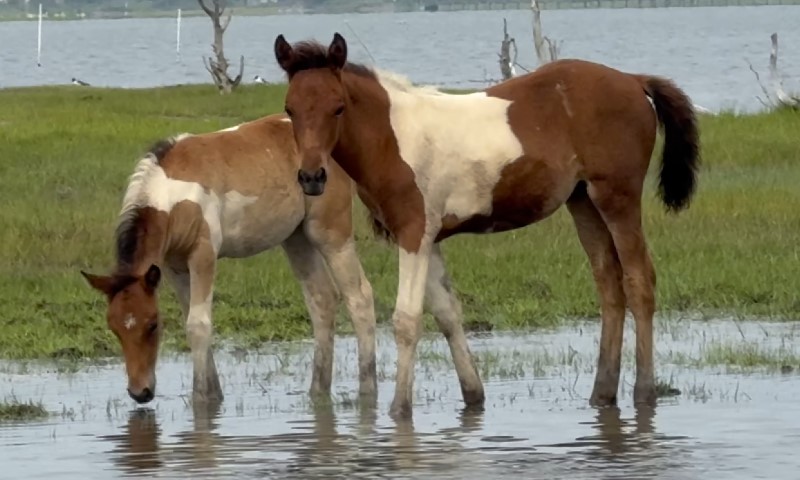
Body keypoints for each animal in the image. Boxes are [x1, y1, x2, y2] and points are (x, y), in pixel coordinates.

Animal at [81, 112, 378, 405]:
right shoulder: (174, 266)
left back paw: (367, 390)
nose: (140, 392)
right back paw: (318, 392)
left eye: (153, 324)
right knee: (322, 300)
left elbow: (198, 324)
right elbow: (192, 321)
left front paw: (202, 400)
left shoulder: (203, 255)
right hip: (296, 237)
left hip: (330, 233)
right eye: (114, 327)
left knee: (359, 297)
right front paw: (214, 395)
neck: (173, 193)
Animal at [272, 33, 700, 419]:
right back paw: (602, 394)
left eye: (338, 107)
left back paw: (643, 391)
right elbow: (447, 313)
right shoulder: (427, 238)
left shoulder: (414, 233)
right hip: (583, 203)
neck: (392, 138)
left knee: (639, 280)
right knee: (609, 285)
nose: (312, 177)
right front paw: (473, 395)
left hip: (617, 197)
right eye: (290, 108)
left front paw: (399, 410)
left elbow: (406, 320)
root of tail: (632, 80)